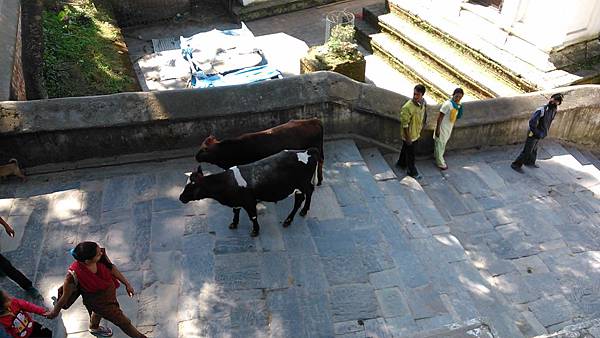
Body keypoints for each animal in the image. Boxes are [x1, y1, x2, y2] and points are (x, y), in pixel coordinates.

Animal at [178, 148, 318, 235]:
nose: (180, 197)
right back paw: (298, 214)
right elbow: (235, 211)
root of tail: (307, 151)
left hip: (302, 184)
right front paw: (234, 224)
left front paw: (255, 231)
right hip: (298, 187)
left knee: (308, 193)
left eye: (192, 186)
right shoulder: (236, 201)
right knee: (301, 198)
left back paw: (292, 218)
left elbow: (253, 216)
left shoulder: (249, 202)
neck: (226, 182)